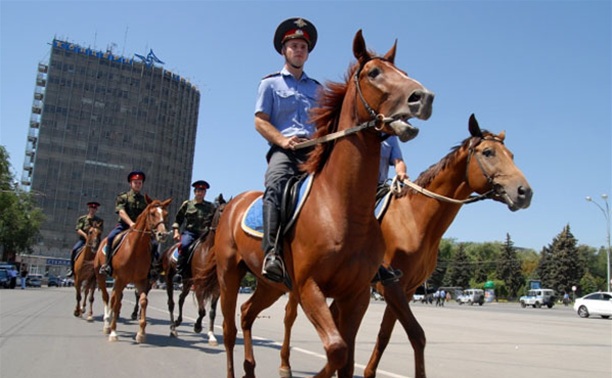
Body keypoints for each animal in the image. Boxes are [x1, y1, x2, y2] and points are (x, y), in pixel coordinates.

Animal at [94, 196, 173, 344]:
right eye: (152, 213)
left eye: (166, 214)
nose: (162, 234)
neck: (135, 248)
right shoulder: (120, 279)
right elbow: (117, 303)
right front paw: (113, 332)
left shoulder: (140, 280)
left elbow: (143, 301)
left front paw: (141, 333)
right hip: (101, 276)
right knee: (107, 297)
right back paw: (107, 324)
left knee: (114, 298)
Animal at [198, 30, 432, 378]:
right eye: (374, 73)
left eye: (402, 70)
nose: (423, 97)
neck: (345, 209)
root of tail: (232, 205)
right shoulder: (309, 287)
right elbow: (337, 350)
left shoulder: (357, 295)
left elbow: (345, 358)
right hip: (230, 275)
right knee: (228, 329)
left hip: (271, 285)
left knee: (247, 312)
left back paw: (251, 367)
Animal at [278, 114, 532, 378]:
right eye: (488, 152)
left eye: (511, 155)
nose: (524, 192)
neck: (415, 219)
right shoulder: (391, 287)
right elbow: (414, 333)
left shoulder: (406, 289)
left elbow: (390, 335)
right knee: (290, 315)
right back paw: (285, 364)